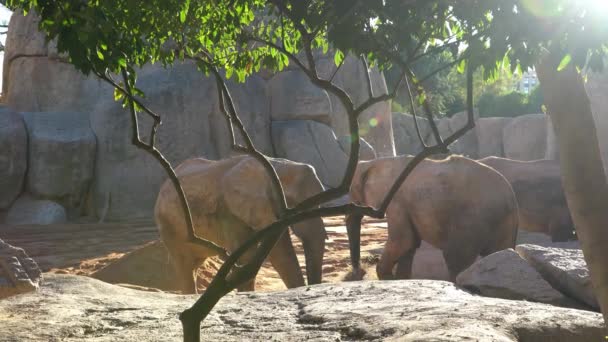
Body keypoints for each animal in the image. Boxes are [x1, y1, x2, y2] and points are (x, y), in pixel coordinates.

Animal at [156, 155, 328, 294]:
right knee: (184, 265)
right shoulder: (229, 211)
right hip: (168, 225)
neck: (274, 165)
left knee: (194, 265)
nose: (310, 288)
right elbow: (263, 253)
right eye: (292, 203)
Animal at [346, 154, 516, 280]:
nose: (359, 273)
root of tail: (511, 197)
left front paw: (386, 277)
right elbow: (410, 245)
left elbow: (403, 240)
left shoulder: (396, 201)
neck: (374, 162)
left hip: (471, 220)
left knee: (455, 257)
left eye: (352, 191)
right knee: (499, 254)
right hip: (502, 223)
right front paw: (399, 279)